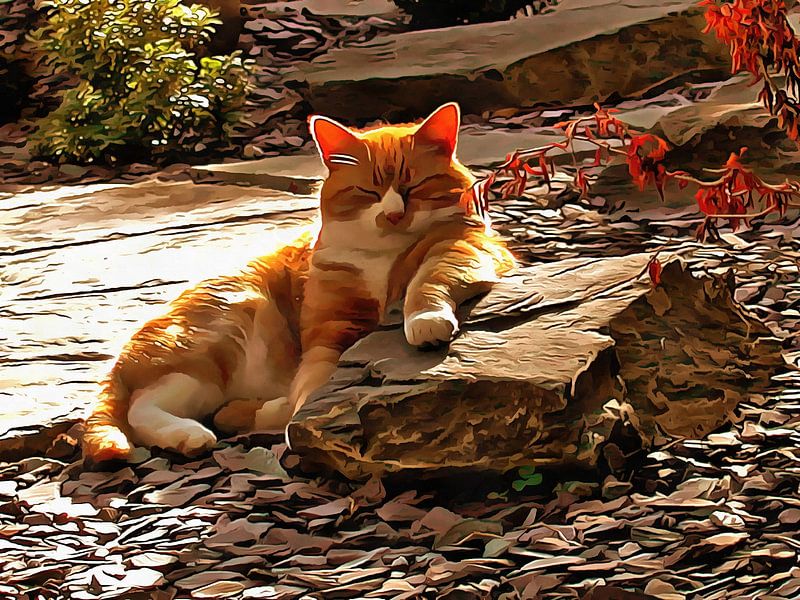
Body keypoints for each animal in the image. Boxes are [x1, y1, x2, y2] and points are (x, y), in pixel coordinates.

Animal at [81, 103, 516, 464]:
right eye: (367, 191)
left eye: (414, 187)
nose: (393, 215)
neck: (384, 258)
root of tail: (118, 359)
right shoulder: (328, 330)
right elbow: (314, 381)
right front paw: (298, 422)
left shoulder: (466, 250)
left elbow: (428, 280)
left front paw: (424, 319)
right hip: (223, 336)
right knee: (139, 409)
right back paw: (192, 434)